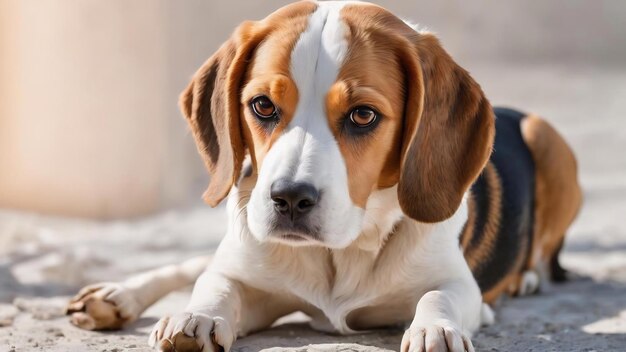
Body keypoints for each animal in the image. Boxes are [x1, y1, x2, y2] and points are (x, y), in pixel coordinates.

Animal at [66, 1, 576, 350]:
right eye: (263, 106)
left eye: (363, 115)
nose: (289, 199)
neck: (342, 252)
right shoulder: (250, 277)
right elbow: (214, 283)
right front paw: (196, 317)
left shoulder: (459, 283)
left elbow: (439, 297)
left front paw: (435, 330)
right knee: (194, 266)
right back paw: (116, 295)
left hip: (548, 137)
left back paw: (526, 279)